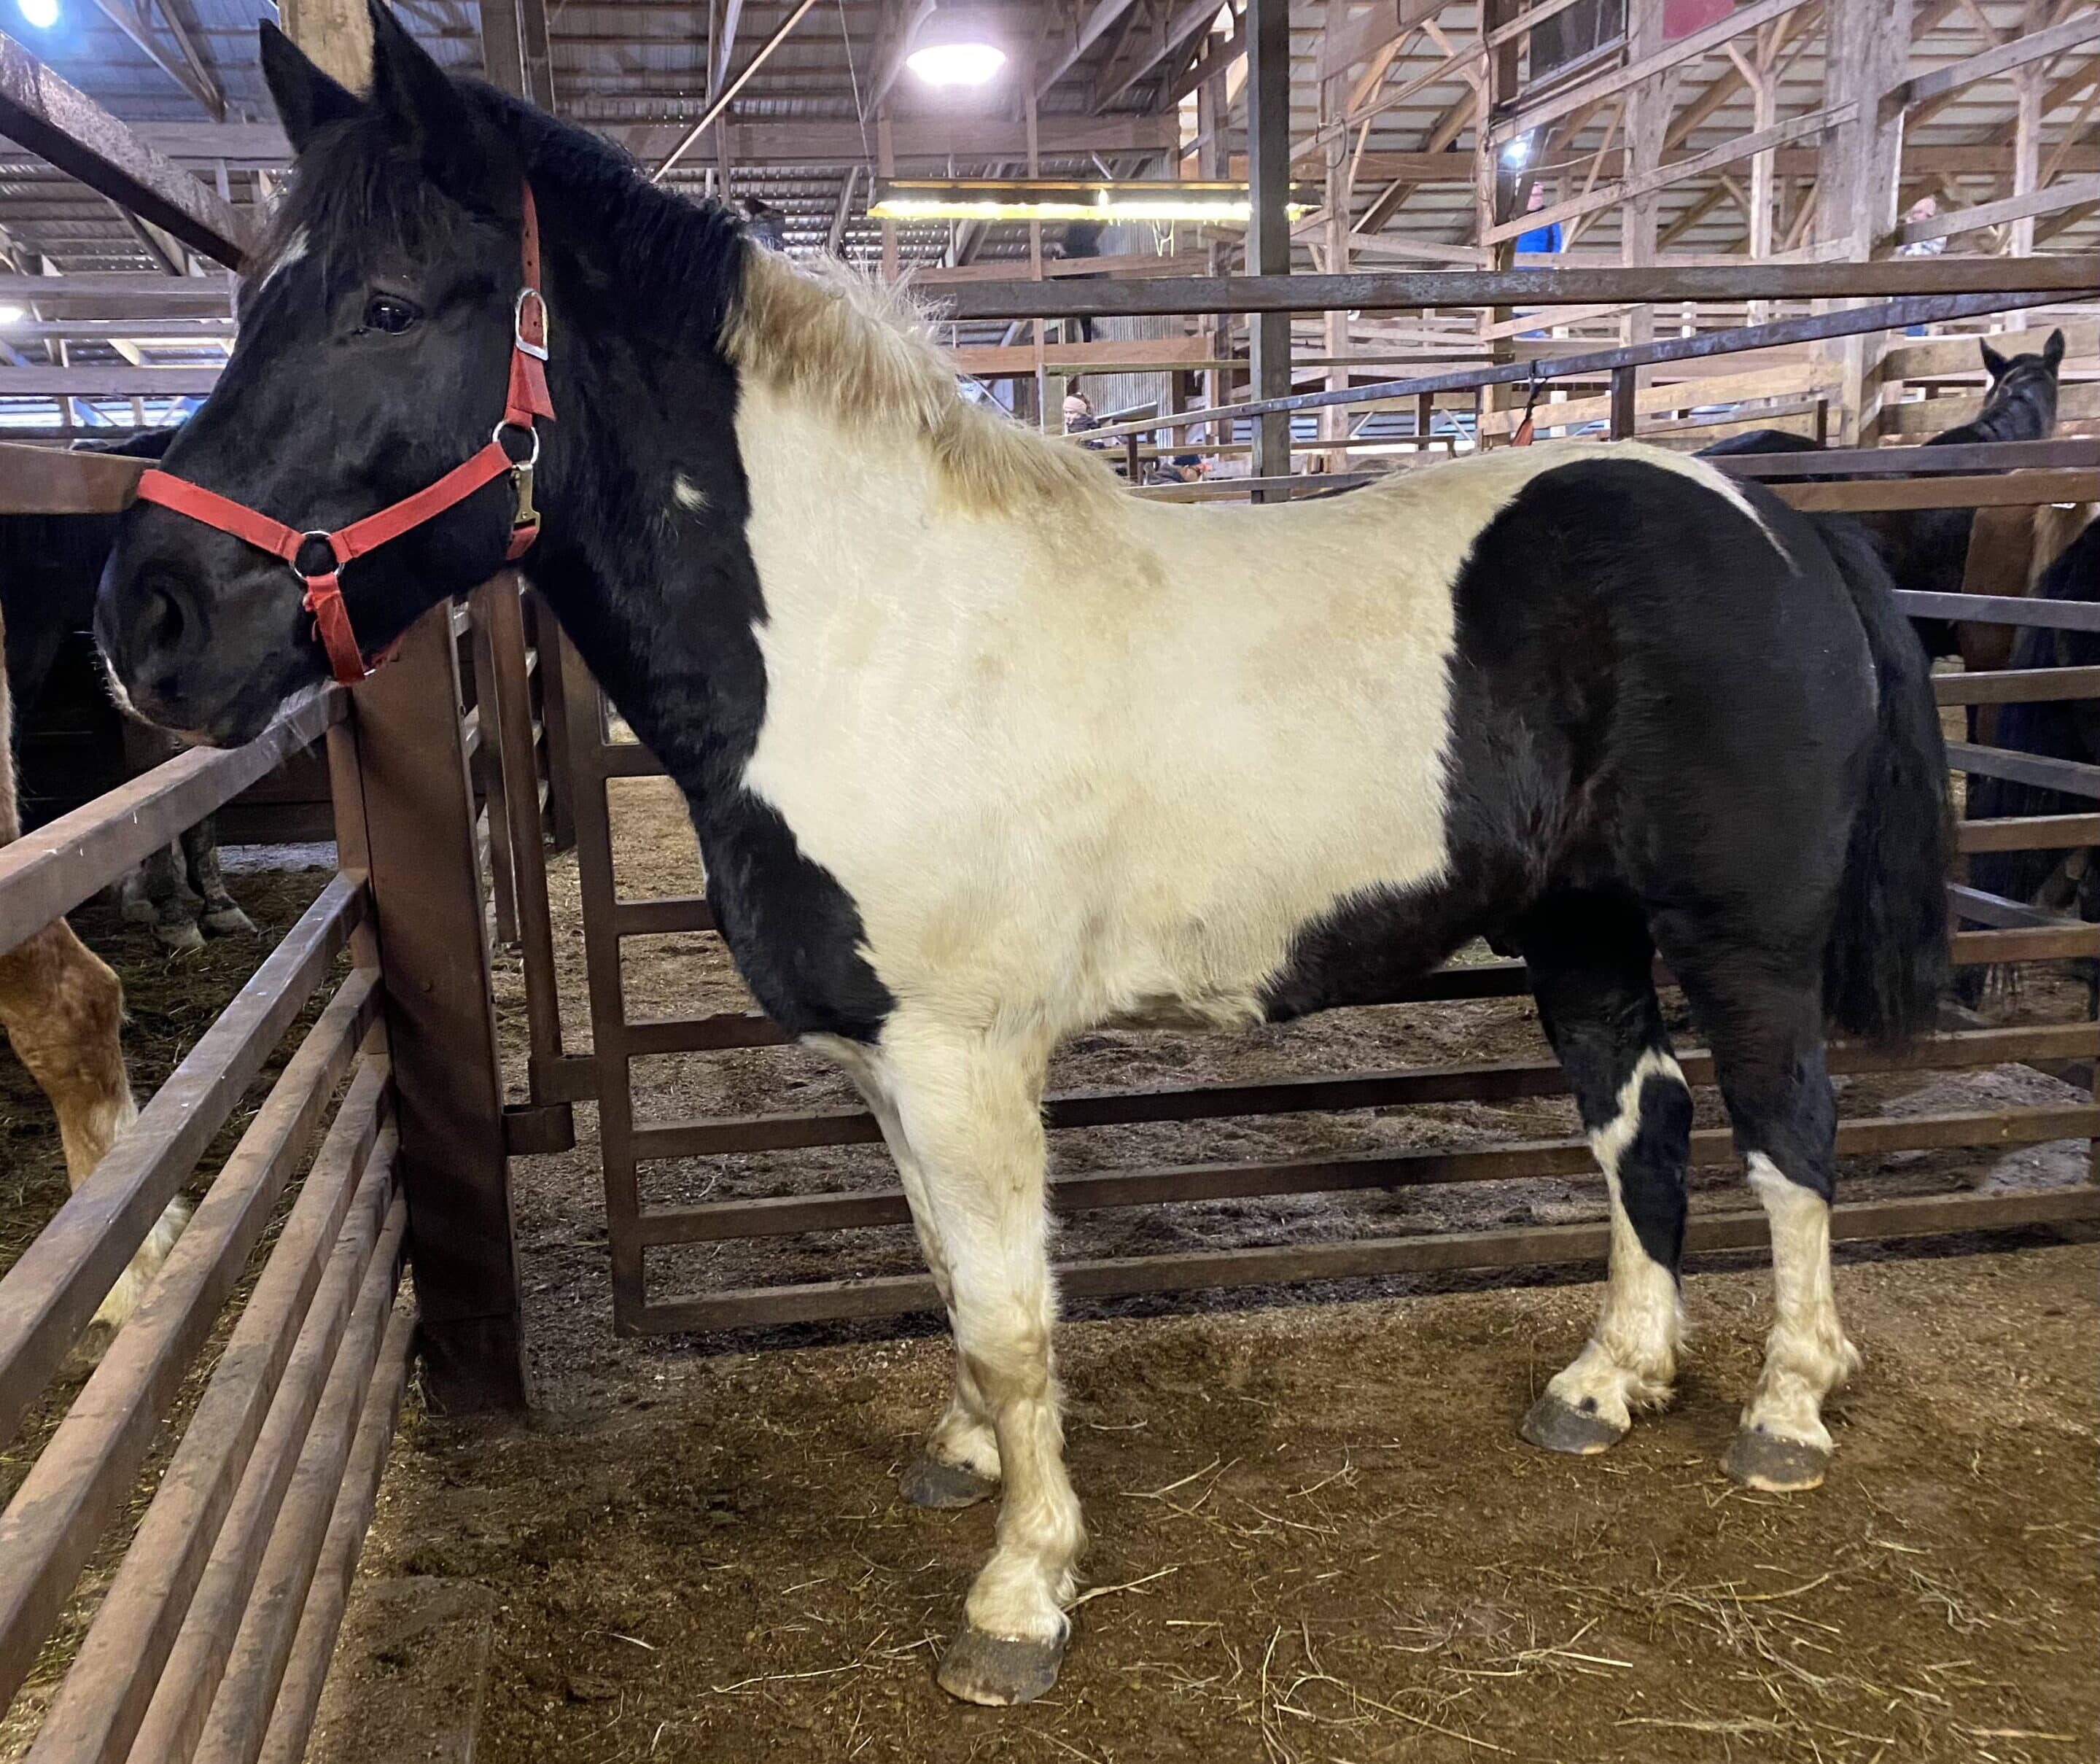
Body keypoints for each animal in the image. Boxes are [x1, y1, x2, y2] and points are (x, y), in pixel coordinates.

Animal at [92, 6, 1951, 1706]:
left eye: (387, 307)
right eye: (250, 300)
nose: (147, 621)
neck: (872, 630)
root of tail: (1783, 528)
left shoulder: (965, 1055)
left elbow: (1010, 1313)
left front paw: (1020, 1596)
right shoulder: (888, 1060)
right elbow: (947, 1282)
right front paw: (967, 1462)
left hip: (1743, 941)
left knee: (1788, 1134)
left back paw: (1786, 1409)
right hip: (1579, 929)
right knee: (1643, 1125)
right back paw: (1606, 1384)